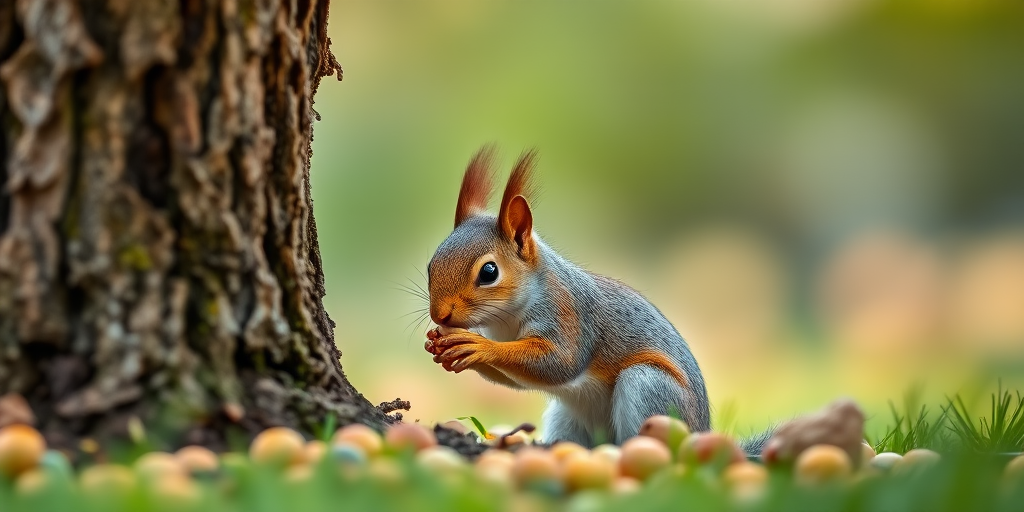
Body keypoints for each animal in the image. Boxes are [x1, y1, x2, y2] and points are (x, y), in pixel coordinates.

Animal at [424, 146, 769, 451]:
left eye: (489, 272)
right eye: (430, 265)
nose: (440, 316)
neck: (506, 317)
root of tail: (701, 431)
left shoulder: (568, 314)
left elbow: (559, 363)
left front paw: (477, 346)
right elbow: (517, 379)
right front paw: (441, 347)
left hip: (649, 387)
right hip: (566, 417)